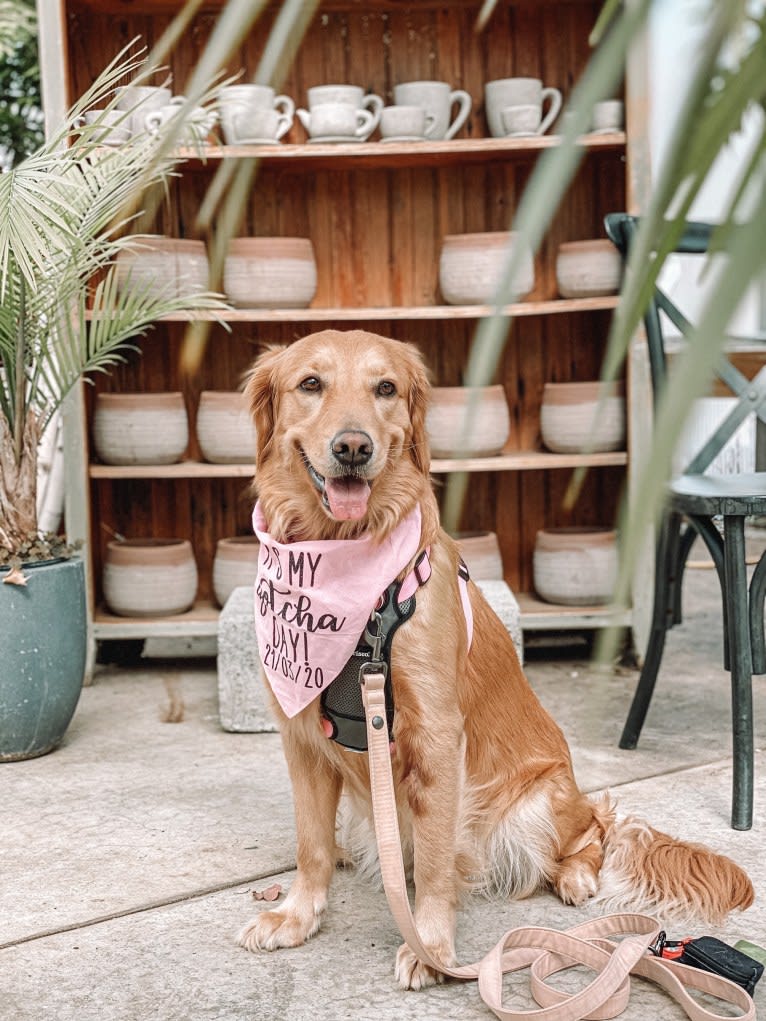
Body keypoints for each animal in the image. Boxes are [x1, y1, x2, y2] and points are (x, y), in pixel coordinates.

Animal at [240, 328, 755, 988]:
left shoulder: (437, 735)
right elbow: (311, 844)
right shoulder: (302, 734)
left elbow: (437, 859)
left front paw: (431, 946)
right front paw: (297, 916)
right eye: (310, 384)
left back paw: (575, 874)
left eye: (385, 388)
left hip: (537, 803)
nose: (353, 447)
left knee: (595, 825)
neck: (349, 562)